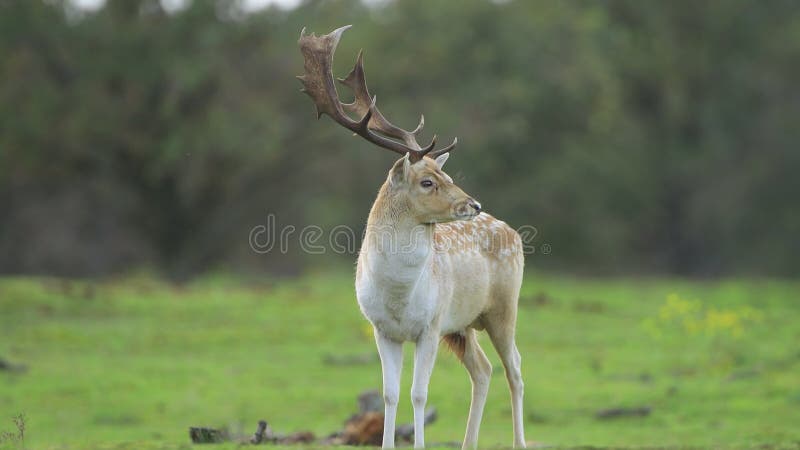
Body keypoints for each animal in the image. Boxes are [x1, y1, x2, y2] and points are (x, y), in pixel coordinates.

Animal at [296, 25, 528, 450]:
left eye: (447, 174)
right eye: (428, 182)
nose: (474, 203)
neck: (398, 298)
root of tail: (514, 232)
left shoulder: (430, 326)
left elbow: (419, 394)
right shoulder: (382, 329)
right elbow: (389, 394)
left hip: (503, 307)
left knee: (515, 367)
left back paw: (520, 442)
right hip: (462, 325)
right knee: (483, 369)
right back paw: (468, 443)